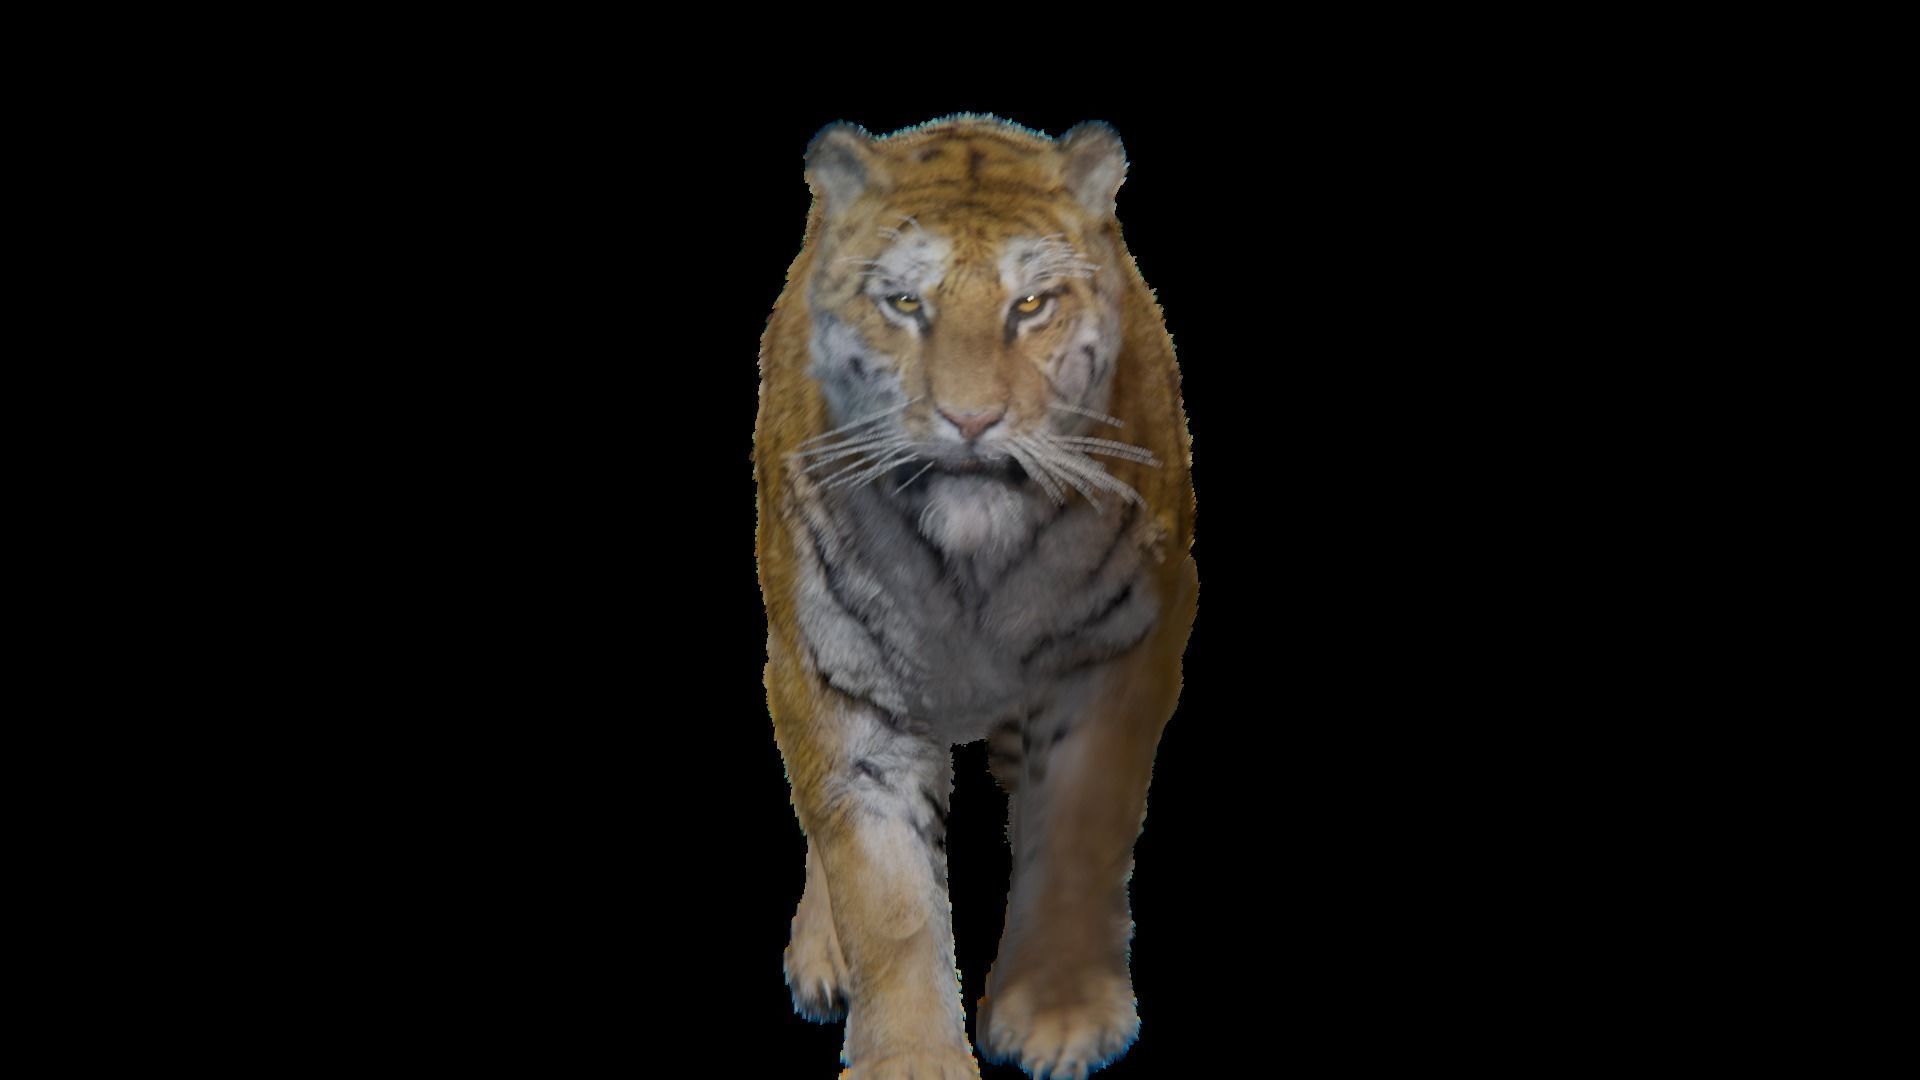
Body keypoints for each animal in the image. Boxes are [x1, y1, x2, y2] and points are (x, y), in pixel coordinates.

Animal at [754, 114, 1198, 1080]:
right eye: (904, 304)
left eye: (1029, 306)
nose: (970, 422)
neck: (969, 569)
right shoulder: (833, 674)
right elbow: (883, 892)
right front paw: (911, 1062)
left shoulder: (1113, 655)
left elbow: (1078, 828)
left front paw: (1060, 1013)